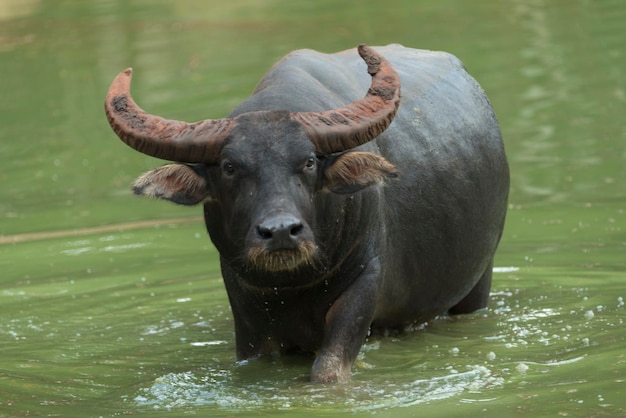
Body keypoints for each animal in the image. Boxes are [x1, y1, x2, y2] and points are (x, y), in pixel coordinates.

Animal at [103, 43, 508, 382]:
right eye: (230, 167)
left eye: (310, 161)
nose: (281, 231)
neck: (292, 286)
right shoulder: (246, 311)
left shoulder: (364, 286)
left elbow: (328, 371)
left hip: (478, 281)